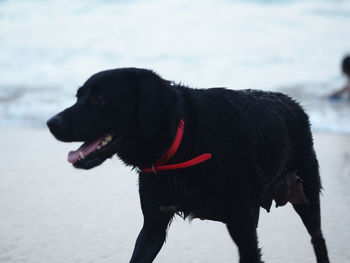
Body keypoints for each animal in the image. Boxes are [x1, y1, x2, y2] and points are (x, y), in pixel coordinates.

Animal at [47, 68, 330, 263]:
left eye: (99, 98)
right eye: (78, 97)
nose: (51, 123)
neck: (180, 142)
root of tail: (294, 104)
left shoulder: (242, 221)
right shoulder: (153, 224)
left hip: (307, 194)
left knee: (318, 238)